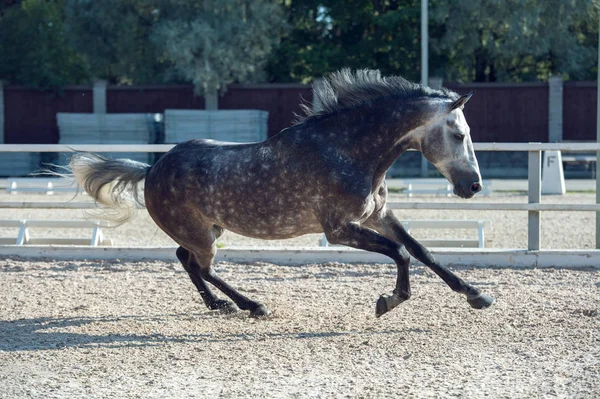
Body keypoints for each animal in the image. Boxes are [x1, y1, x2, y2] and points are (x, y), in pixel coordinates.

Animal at [70, 69, 494, 318]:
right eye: (459, 135)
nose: (473, 186)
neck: (347, 150)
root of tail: (152, 169)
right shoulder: (340, 229)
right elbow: (402, 253)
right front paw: (388, 301)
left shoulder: (377, 216)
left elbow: (421, 250)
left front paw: (476, 295)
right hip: (202, 235)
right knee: (202, 266)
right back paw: (253, 305)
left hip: (206, 230)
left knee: (186, 260)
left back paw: (220, 305)